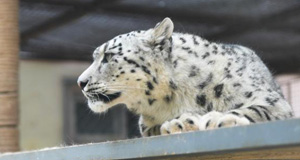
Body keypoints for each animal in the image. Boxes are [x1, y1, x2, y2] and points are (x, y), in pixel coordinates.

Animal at [77, 17, 292, 138]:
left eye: (109, 56)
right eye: (96, 56)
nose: (81, 82)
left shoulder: (272, 101)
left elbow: (255, 109)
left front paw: (217, 118)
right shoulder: (145, 125)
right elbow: (155, 128)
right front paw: (180, 123)